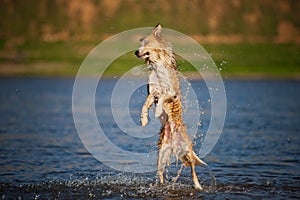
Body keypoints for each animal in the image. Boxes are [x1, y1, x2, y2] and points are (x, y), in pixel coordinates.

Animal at [135, 24, 212, 190]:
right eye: (140, 44)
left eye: (146, 43)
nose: (136, 52)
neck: (158, 68)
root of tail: (173, 144)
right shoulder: (151, 93)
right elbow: (144, 106)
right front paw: (144, 120)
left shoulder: (170, 93)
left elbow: (163, 98)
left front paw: (158, 111)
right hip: (162, 154)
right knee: (161, 173)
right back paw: (161, 184)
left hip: (187, 151)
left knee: (193, 170)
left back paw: (198, 186)